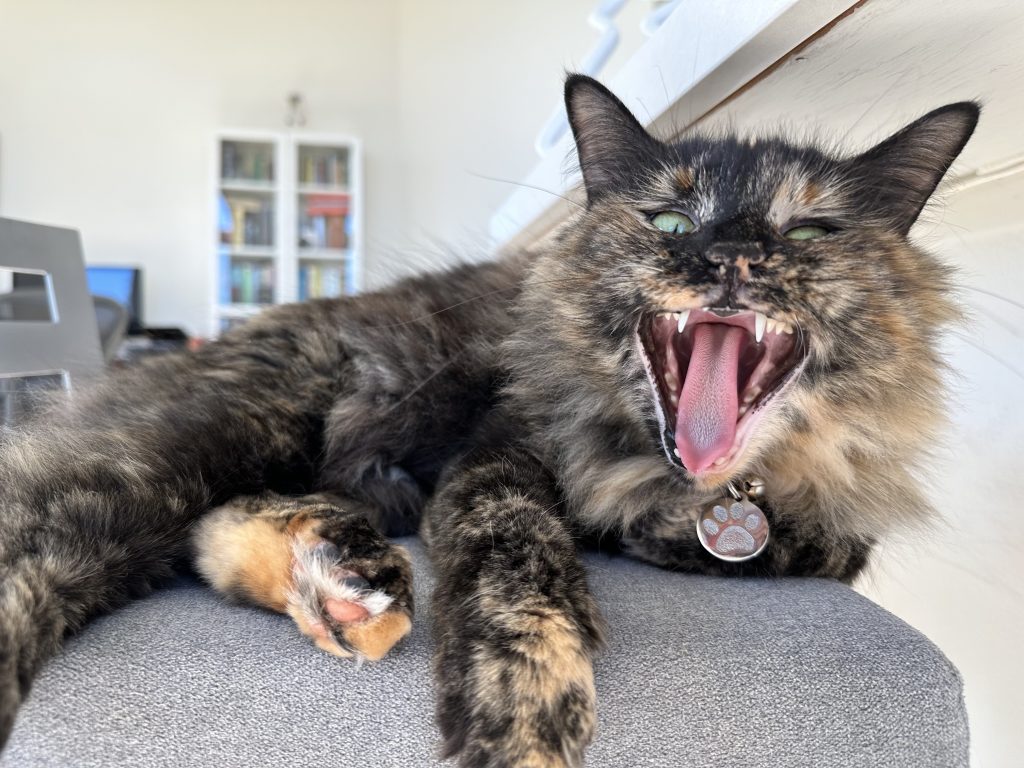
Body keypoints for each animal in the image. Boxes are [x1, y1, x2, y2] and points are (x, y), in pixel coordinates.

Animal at [0, 79, 974, 768]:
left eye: (809, 233)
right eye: (668, 219)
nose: (732, 254)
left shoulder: (835, 522)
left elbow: (808, 543)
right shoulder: (496, 455)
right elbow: (523, 567)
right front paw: (524, 718)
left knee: (214, 533)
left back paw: (343, 585)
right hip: (207, 444)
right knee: (50, 538)